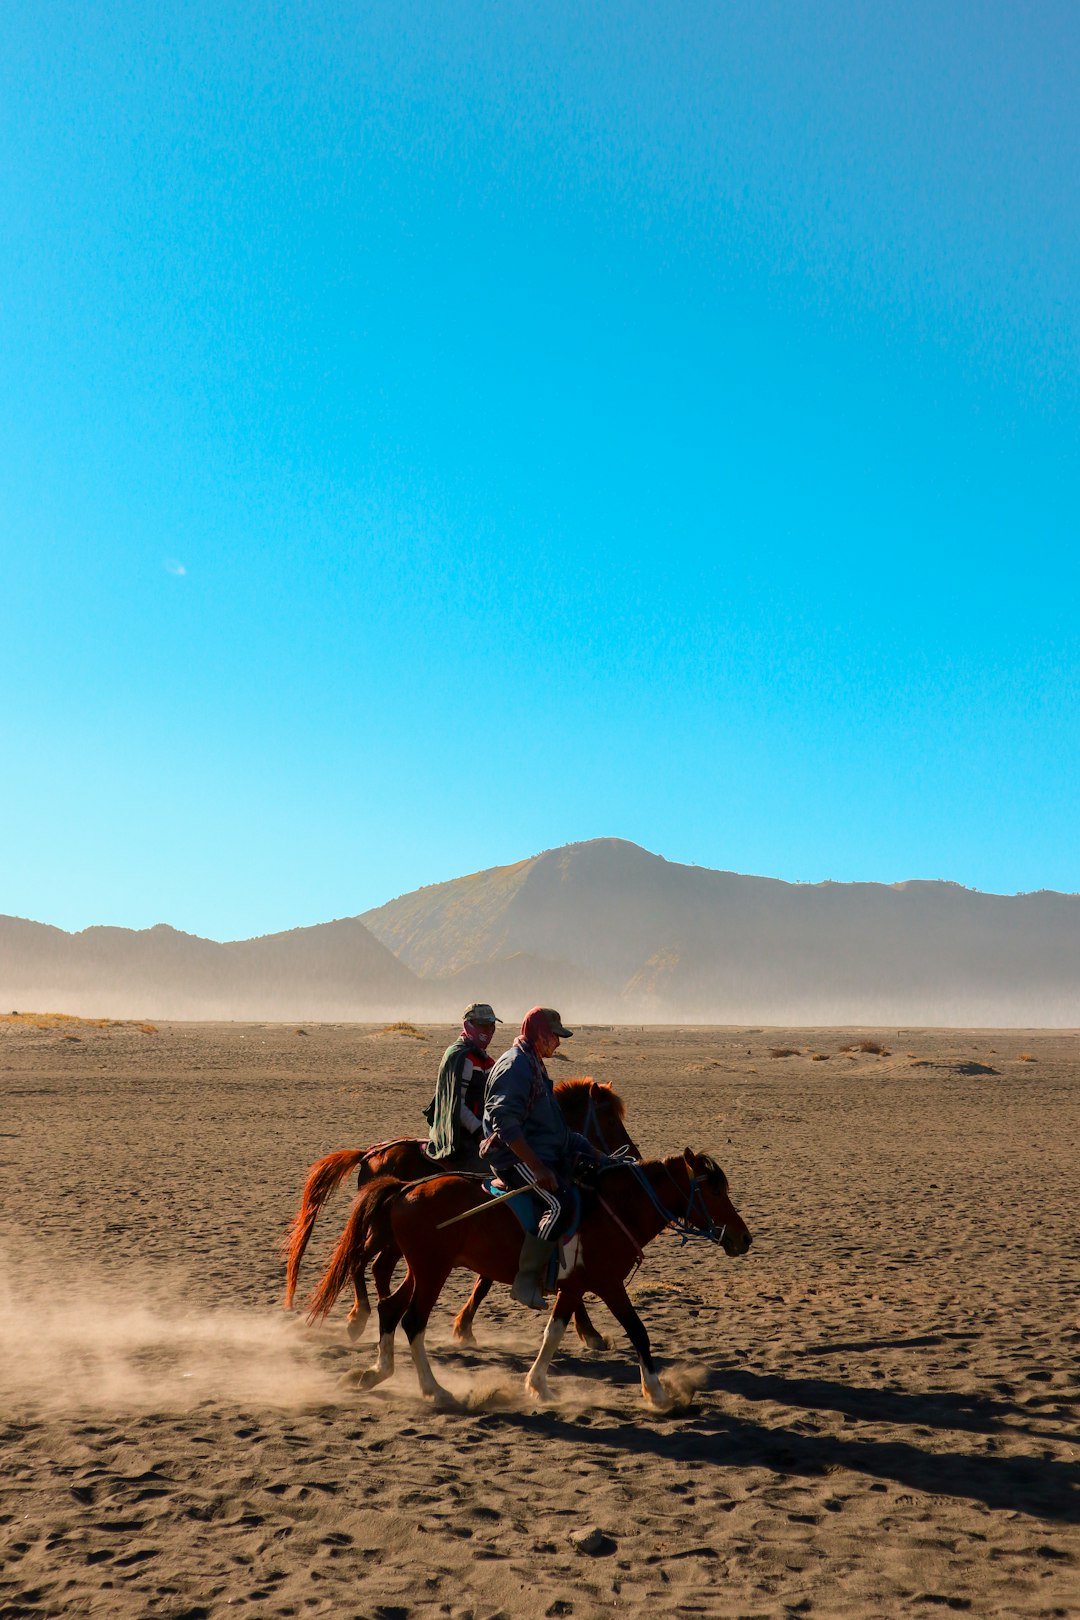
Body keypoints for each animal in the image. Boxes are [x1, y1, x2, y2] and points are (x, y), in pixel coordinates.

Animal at [276, 1082, 641, 1347]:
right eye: (610, 1119)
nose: (634, 1154)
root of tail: (370, 1153)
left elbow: (490, 1280)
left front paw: (463, 1326)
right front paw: (590, 1332)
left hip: (390, 1237)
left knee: (376, 1266)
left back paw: (379, 1312)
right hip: (385, 1234)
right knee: (361, 1260)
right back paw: (361, 1316)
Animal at [306, 1153, 751, 1406]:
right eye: (715, 1192)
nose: (744, 1238)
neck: (613, 1209)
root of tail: (403, 1189)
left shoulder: (575, 1287)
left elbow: (554, 1332)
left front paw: (538, 1385)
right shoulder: (607, 1284)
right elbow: (638, 1332)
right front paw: (656, 1393)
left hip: (421, 1269)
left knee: (390, 1308)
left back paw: (375, 1372)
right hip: (433, 1270)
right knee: (412, 1320)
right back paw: (435, 1390)